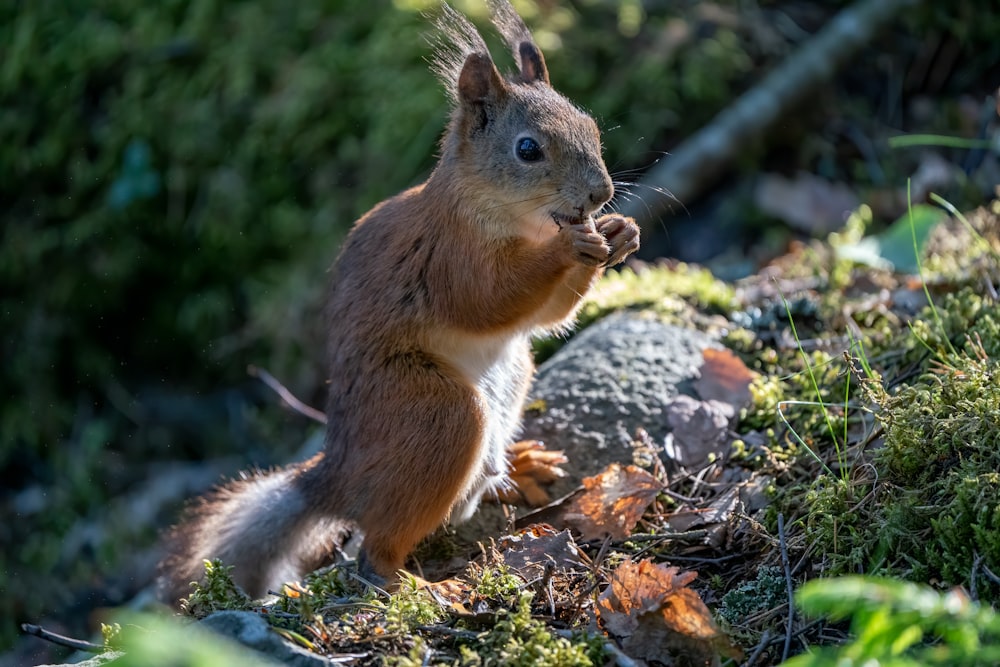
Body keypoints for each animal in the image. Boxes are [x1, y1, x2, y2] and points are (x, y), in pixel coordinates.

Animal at [156, 0, 640, 604]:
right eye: (528, 149)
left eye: (591, 127)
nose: (601, 194)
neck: (511, 219)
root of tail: (340, 477)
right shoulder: (449, 259)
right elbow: (491, 301)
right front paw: (570, 246)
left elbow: (550, 315)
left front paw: (621, 234)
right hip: (433, 414)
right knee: (377, 552)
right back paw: (425, 588)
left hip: (512, 375)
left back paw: (521, 467)